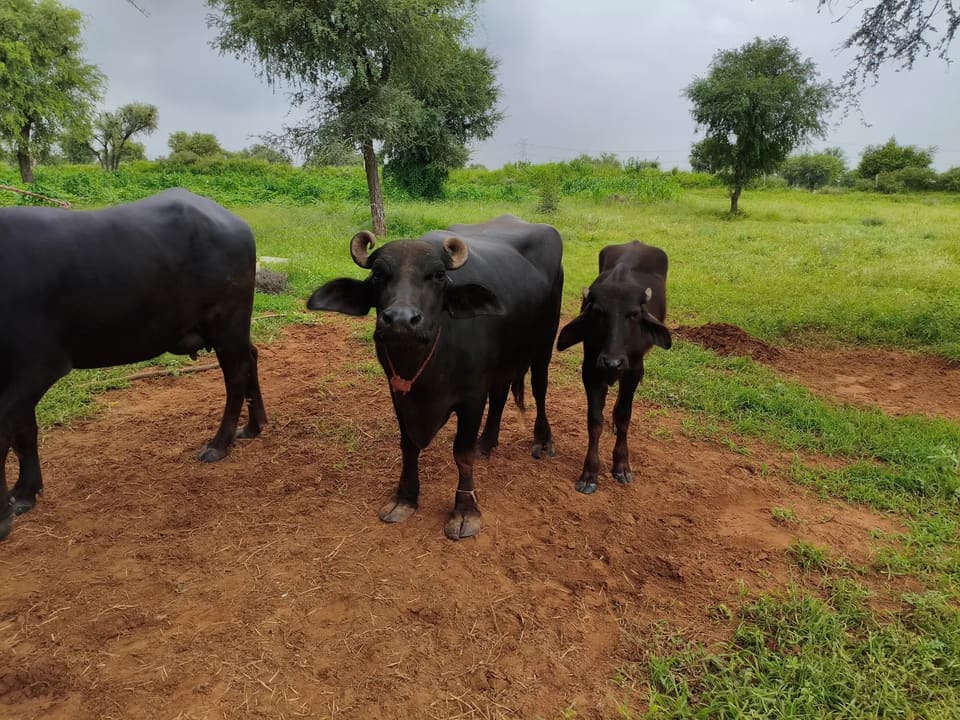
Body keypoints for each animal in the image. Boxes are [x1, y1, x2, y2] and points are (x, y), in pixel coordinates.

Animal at [0, 188, 266, 540]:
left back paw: (220, 444)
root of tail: (238, 226)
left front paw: (4, 515)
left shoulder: (36, 369)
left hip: (226, 323)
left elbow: (4, 437)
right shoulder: (15, 375)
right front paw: (25, 493)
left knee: (236, 374)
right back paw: (254, 426)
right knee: (251, 357)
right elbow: (23, 433)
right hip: (230, 329)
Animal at [308, 215, 563, 539]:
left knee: (540, 387)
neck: (427, 369)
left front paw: (465, 511)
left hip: (544, 344)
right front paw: (404, 498)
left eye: (438, 275)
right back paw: (486, 443)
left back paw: (542, 441)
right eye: (378, 274)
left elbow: (462, 453)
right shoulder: (398, 394)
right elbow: (408, 446)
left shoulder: (471, 398)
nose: (401, 320)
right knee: (500, 394)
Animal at [557, 241, 671, 494]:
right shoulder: (590, 370)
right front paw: (590, 473)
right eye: (599, 312)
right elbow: (594, 421)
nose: (612, 362)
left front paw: (621, 466)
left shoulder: (633, 370)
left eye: (634, 314)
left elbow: (624, 415)